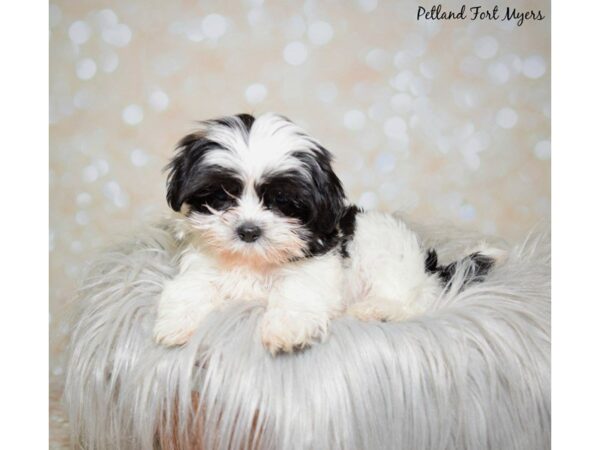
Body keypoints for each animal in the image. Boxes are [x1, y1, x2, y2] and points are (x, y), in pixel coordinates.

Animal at [154, 111, 502, 352]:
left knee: (413, 301)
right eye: (222, 195)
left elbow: (298, 291)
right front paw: (175, 323)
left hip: (386, 250)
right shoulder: (203, 264)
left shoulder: (313, 268)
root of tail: (428, 268)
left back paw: (377, 309)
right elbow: (190, 287)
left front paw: (287, 327)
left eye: (283, 202)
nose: (248, 231)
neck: (253, 261)